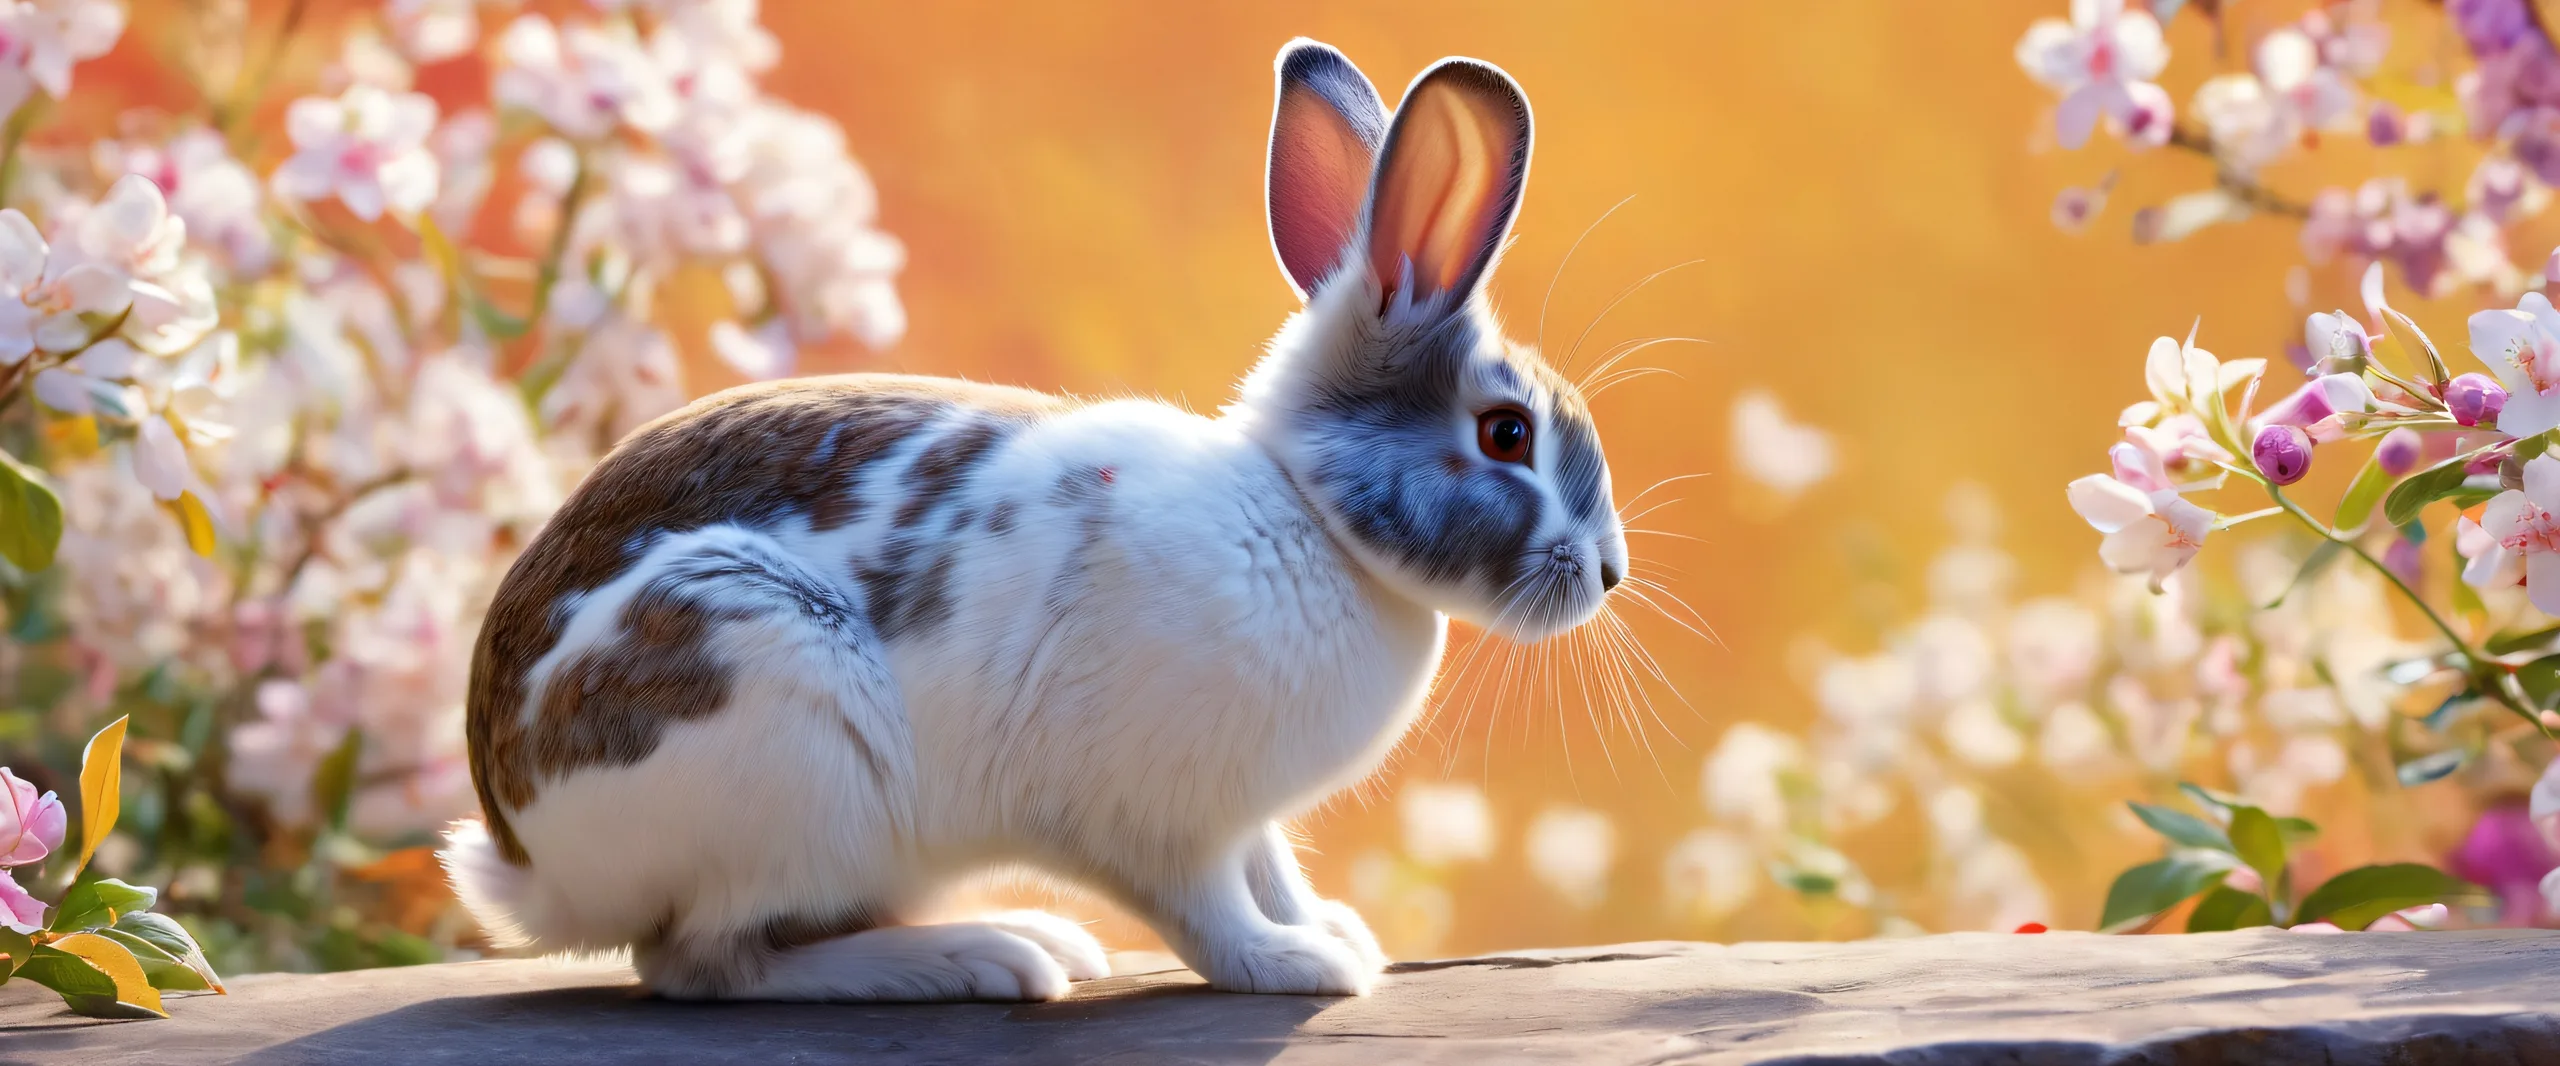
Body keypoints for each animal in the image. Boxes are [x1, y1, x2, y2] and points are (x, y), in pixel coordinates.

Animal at [440, 37, 1628, 1003]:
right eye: (1507, 433)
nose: (1609, 571)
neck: (1304, 510)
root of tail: (523, 854)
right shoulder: (1159, 822)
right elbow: (1208, 909)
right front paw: (1299, 965)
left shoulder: (1242, 816)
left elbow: (1272, 870)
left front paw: (1329, 930)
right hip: (767, 716)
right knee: (706, 962)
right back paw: (978, 959)